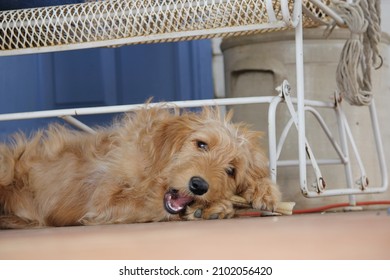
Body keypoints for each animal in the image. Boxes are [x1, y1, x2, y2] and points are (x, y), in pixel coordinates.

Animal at [0, 104, 280, 229]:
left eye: (231, 170)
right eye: (201, 145)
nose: (199, 185)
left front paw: (264, 191)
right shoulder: (103, 202)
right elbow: (144, 203)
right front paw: (216, 206)